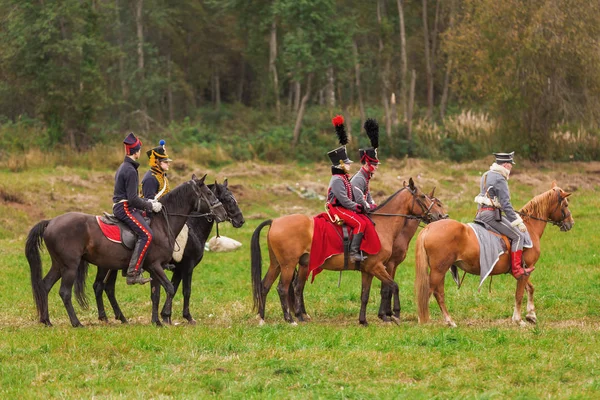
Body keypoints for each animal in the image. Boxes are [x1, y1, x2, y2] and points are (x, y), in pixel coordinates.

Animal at [25, 173, 227, 326]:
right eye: (208, 193)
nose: (223, 213)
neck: (163, 223)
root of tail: (51, 222)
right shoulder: (160, 265)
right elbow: (170, 289)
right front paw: (166, 318)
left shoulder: (155, 267)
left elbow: (156, 293)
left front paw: (157, 321)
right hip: (70, 266)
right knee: (66, 292)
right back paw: (77, 323)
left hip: (60, 265)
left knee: (45, 285)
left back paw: (47, 320)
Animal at [91, 180, 244, 324]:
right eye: (227, 198)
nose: (240, 220)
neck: (193, 230)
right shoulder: (187, 267)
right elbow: (185, 291)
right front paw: (186, 317)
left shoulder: (177, 270)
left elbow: (173, 288)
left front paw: (165, 316)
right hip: (107, 266)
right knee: (100, 286)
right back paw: (106, 317)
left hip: (112, 267)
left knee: (107, 288)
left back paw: (120, 318)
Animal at [251, 178, 448, 324]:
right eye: (423, 197)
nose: (441, 216)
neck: (382, 225)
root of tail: (275, 221)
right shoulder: (380, 266)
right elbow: (392, 287)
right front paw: (393, 315)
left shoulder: (369, 270)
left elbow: (365, 295)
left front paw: (364, 320)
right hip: (288, 265)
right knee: (283, 288)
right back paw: (290, 319)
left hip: (280, 265)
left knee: (267, 286)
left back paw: (264, 318)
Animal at [414, 183, 576, 326]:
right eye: (566, 205)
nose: (571, 223)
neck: (529, 227)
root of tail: (429, 228)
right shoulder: (526, 269)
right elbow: (519, 294)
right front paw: (518, 320)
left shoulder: (521, 270)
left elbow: (530, 288)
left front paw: (531, 315)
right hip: (439, 270)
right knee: (429, 292)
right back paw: (427, 320)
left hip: (441, 270)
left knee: (438, 293)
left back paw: (448, 321)